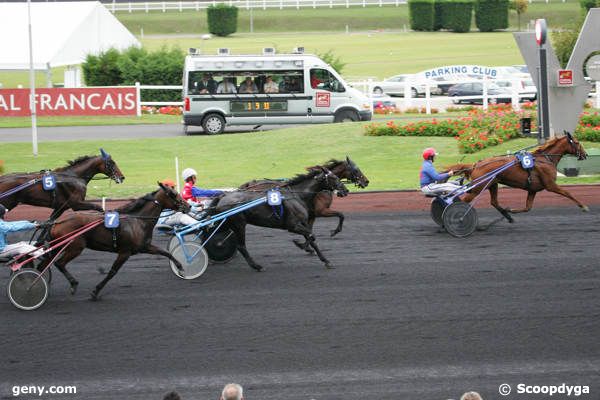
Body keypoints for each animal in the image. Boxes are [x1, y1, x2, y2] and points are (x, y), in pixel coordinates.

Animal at [37, 183, 190, 298]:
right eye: (173, 194)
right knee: (59, 263)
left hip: (58, 246)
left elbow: (165, 252)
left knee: (43, 265)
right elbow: (112, 272)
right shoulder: (125, 252)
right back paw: (72, 284)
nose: (188, 206)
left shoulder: (144, 247)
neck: (137, 220)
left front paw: (181, 267)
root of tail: (57, 222)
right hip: (75, 247)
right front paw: (96, 291)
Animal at [213, 167, 350, 270]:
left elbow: (312, 239)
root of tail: (223, 197)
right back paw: (256, 266)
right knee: (241, 246)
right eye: (334, 177)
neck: (297, 195)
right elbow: (312, 236)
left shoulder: (302, 223)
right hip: (239, 224)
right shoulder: (293, 226)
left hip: (227, 223)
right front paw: (302, 245)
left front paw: (325, 260)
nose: (346, 190)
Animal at [237, 156, 368, 244]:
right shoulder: (320, 211)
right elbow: (341, 215)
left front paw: (308, 246)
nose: (366, 181)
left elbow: (309, 229)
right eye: (356, 170)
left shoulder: (311, 215)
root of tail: (249, 185)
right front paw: (334, 232)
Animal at [446, 131, 592, 220]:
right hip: (478, 187)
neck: (545, 159)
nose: (585, 154)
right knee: (463, 201)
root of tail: (476, 164)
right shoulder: (550, 185)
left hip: (492, 184)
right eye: (577, 142)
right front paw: (584, 206)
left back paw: (507, 215)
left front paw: (511, 210)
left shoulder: (533, 189)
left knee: (494, 201)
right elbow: (568, 193)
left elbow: (528, 207)